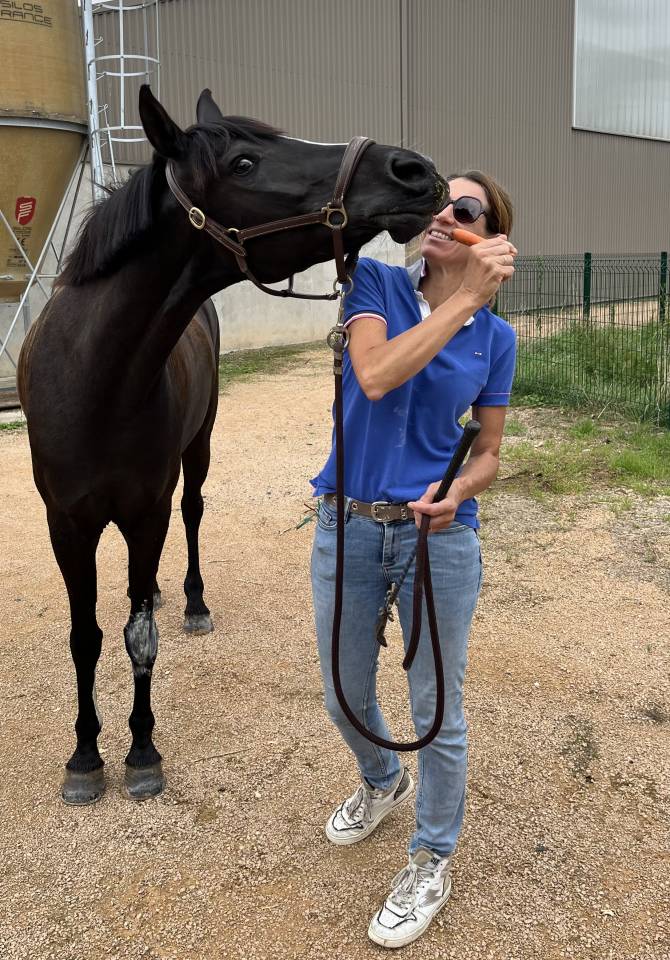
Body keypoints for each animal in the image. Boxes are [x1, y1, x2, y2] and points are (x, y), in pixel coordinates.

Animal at [17, 85, 443, 805]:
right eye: (243, 163)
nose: (413, 169)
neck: (93, 379)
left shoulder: (147, 510)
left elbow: (138, 637)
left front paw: (140, 752)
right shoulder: (65, 524)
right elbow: (86, 638)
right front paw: (83, 758)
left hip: (198, 453)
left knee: (191, 517)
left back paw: (190, 601)